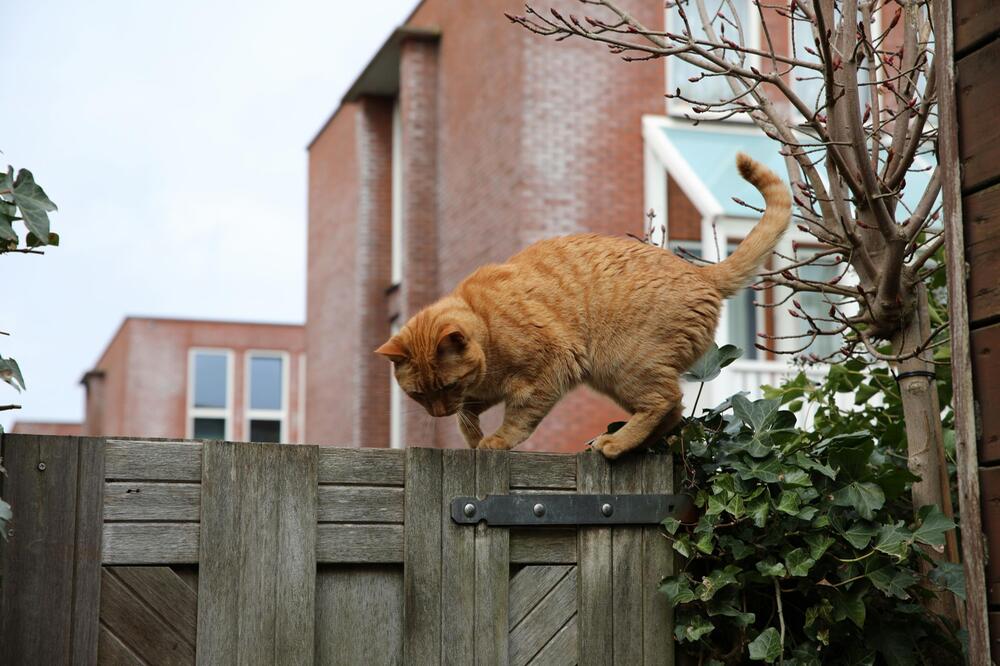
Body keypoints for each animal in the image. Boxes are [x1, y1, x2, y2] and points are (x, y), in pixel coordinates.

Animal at [376, 154, 788, 456]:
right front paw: (472, 435)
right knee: (673, 412)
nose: (439, 412)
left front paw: (495, 440)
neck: (487, 329)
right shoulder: (483, 392)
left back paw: (615, 443)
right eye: (419, 395)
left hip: (620, 363)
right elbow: (468, 417)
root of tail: (701, 274)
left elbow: (519, 417)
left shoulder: (548, 370)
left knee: (665, 400)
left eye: (447, 385)